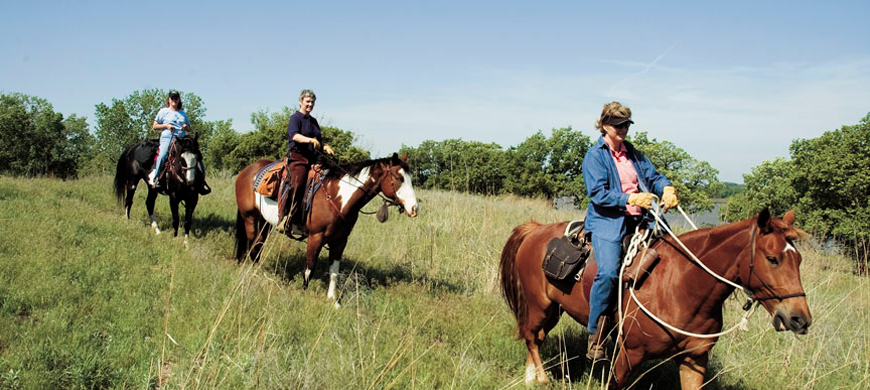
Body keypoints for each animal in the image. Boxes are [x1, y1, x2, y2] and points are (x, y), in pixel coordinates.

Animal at [235, 152, 418, 302]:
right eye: (399, 178)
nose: (414, 209)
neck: (337, 198)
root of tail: (247, 170)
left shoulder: (340, 241)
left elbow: (334, 271)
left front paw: (332, 299)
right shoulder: (315, 237)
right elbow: (309, 268)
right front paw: (304, 293)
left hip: (264, 221)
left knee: (259, 243)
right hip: (249, 217)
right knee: (252, 242)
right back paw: (253, 271)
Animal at [500, 210, 816, 390]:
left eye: (799, 260)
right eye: (772, 258)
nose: (799, 318)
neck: (681, 286)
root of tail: (536, 229)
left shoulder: (695, 359)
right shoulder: (629, 355)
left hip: (554, 309)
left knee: (536, 337)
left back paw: (530, 378)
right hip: (540, 305)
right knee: (531, 335)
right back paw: (540, 379)